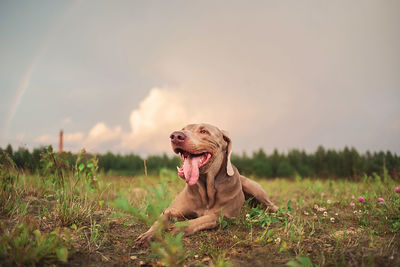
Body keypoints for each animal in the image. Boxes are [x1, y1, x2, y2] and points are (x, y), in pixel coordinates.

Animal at [136, 124, 276, 246]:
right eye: (183, 129)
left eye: (204, 131)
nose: (175, 136)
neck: (205, 189)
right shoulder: (172, 210)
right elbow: (160, 219)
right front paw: (148, 235)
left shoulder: (224, 215)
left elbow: (204, 218)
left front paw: (177, 227)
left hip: (253, 188)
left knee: (271, 206)